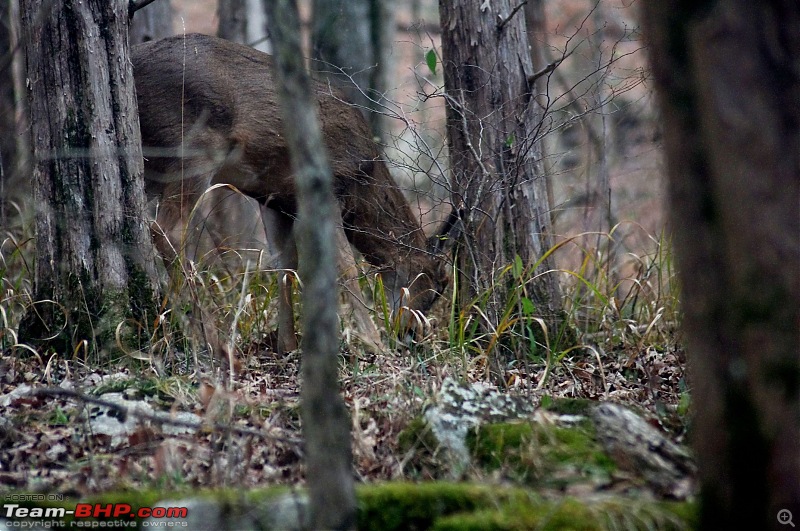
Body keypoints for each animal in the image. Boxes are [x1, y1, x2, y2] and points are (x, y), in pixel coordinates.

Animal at [134, 33, 454, 358]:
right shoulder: (330, 187)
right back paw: (211, 341)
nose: (412, 335)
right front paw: (373, 342)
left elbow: (286, 262)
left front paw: (286, 345)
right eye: (437, 284)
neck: (365, 179)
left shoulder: (275, 197)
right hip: (193, 149)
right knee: (168, 229)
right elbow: (345, 264)